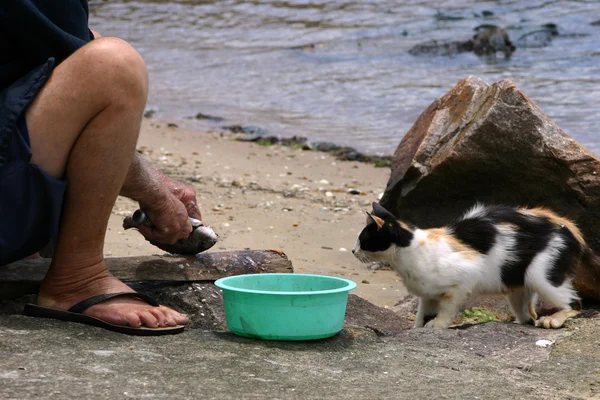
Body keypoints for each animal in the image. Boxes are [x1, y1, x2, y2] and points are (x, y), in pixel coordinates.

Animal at [352, 202, 584, 330]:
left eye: (363, 240)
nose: (353, 251)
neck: (412, 250)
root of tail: (565, 224)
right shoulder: (427, 294)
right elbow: (422, 313)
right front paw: (418, 327)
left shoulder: (463, 279)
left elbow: (446, 310)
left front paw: (437, 326)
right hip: (517, 284)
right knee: (528, 314)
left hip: (540, 275)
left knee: (575, 304)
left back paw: (553, 320)